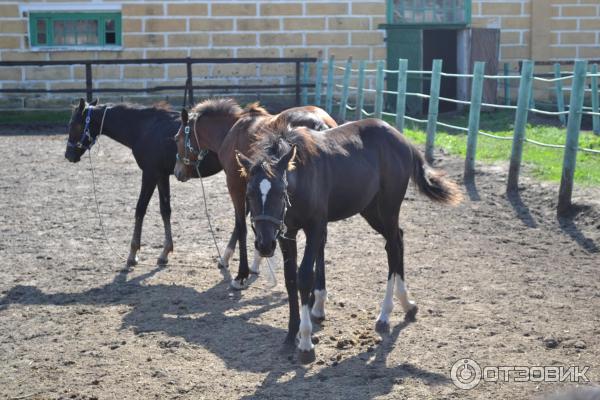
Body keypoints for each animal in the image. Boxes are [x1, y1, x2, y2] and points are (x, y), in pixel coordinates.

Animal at [64, 97, 223, 266]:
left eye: (74, 124)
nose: (68, 155)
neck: (144, 128)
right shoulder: (161, 175)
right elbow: (165, 210)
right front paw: (165, 252)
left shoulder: (149, 174)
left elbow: (140, 209)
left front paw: (132, 254)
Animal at [172, 99, 338, 288]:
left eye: (176, 138)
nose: (177, 171)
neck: (231, 130)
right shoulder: (252, 189)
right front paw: (250, 262)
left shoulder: (236, 185)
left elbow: (241, 226)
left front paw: (241, 274)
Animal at [237, 116, 462, 362]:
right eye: (249, 194)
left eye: (280, 192)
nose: (264, 245)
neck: (302, 175)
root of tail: (401, 138)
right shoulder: (286, 232)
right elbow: (290, 279)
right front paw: (290, 334)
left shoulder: (315, 226)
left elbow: (304, 276)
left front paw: (305, 343)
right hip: (370, 209)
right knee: (398, 239)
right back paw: (407, 305)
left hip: (389, 207)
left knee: (393, 246)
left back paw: (385, 314)